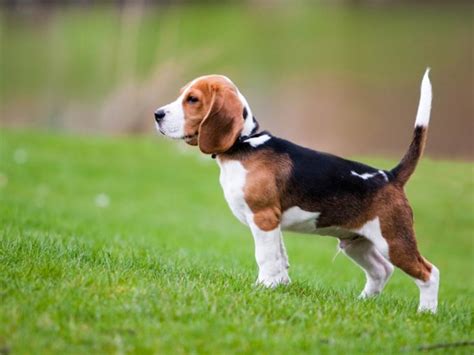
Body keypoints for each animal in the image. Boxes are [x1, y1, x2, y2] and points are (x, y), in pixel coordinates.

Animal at [154, 70, 438, 314]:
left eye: (192, 99)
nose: (157, 114)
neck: (244, 144)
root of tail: (390, 176)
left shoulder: (264, 218)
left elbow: (265, 257)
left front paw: (264, 287)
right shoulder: (273, 222)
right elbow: (280, 256)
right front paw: (279, 285)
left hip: (394, 240)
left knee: (429, 273)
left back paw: (426, 312)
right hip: (356, 242)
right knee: (381, 270)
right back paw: (363, 302)